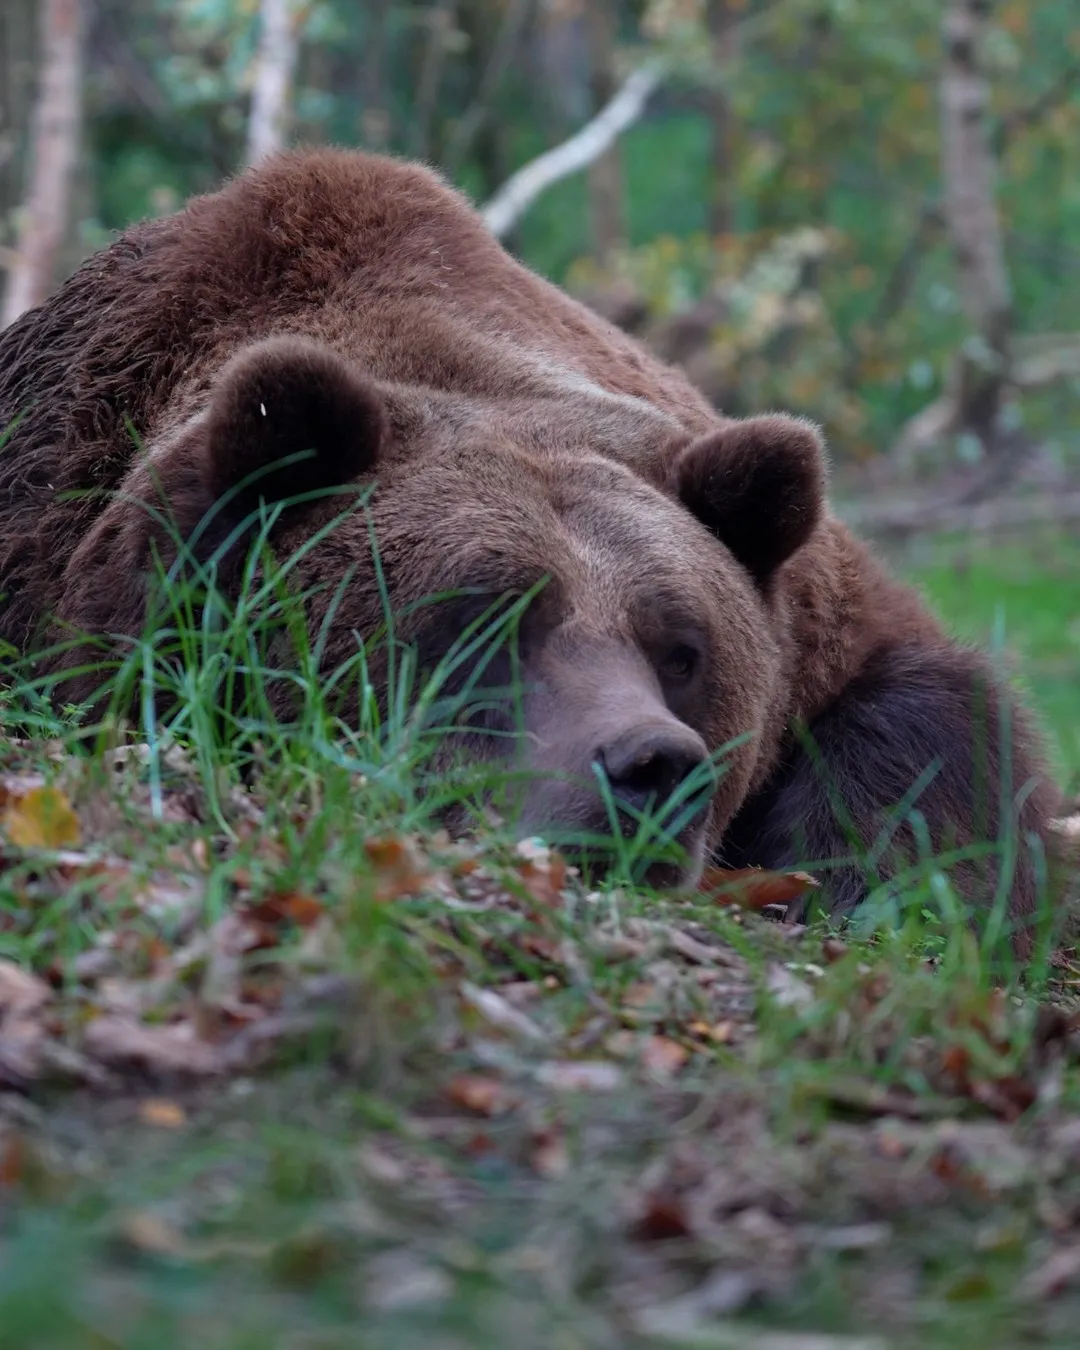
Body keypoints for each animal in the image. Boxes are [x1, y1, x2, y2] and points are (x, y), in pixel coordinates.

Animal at [0, 147, 1061, 949]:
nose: (651, 765)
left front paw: (871, 882)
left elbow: (935, 730)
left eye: (684, 650)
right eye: (482, 624)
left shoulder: (821, 619)